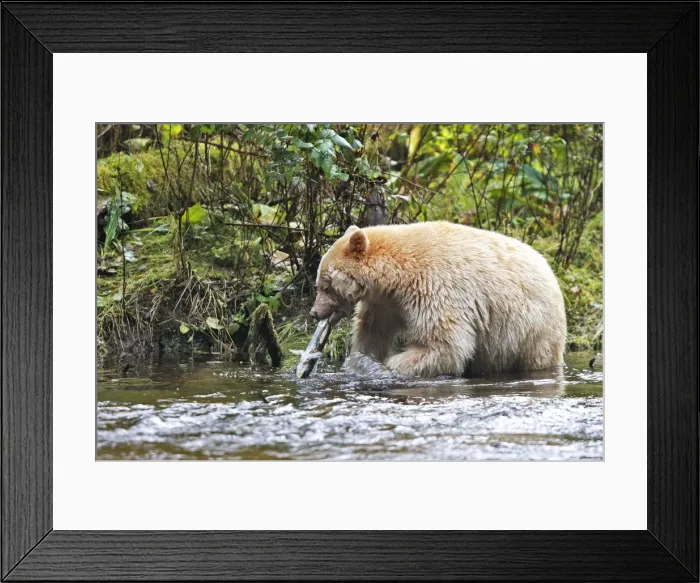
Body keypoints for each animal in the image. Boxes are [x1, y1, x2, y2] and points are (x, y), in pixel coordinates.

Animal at [310, 221, 567, 377]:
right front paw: (362, 359)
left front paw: (386, 366)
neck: (397, 276)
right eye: (318, 284)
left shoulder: (436, 288)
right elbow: (373, 332)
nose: (314, 312)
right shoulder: (386, 303)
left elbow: (443, 345)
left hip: (531, 329)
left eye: (325, 286)